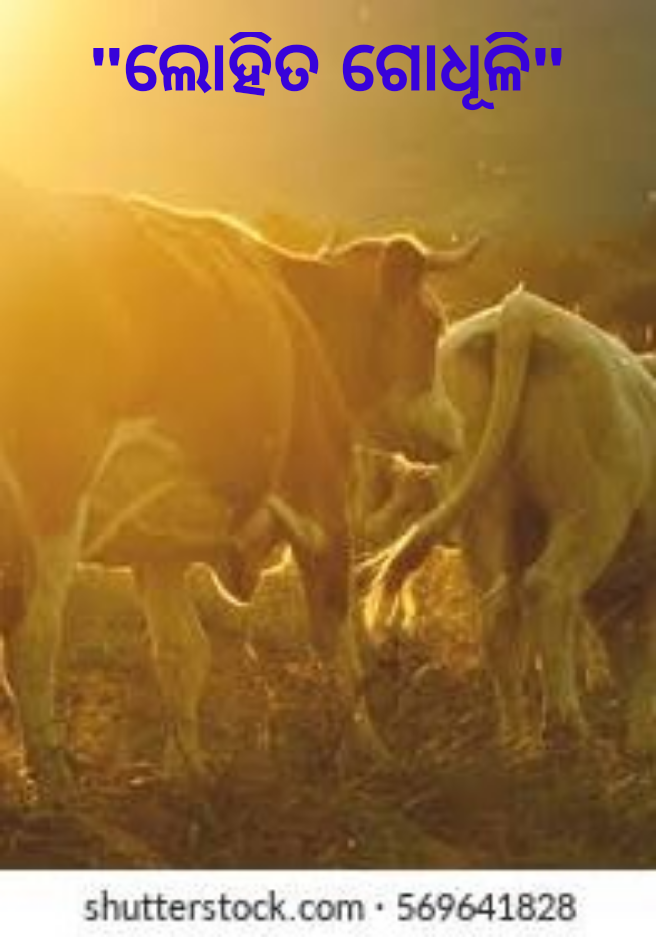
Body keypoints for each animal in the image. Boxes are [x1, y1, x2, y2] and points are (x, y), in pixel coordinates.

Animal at [0, 176, 479, 800]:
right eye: (432, 325)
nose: (455, 429)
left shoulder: (157, 546)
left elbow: (182, 653)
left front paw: (187, 772)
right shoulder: (322, 506)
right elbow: (336, 642)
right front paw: (371, 754)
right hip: (52, 490)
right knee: (32, 637)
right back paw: (56, 785)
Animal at [364, 287, 656, 754]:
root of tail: (522, 309)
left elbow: (630, 655)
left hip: (487, 515)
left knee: (499, 612)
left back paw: (518, 742)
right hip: (590, 509)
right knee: (548, 588)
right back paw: (567, 728)